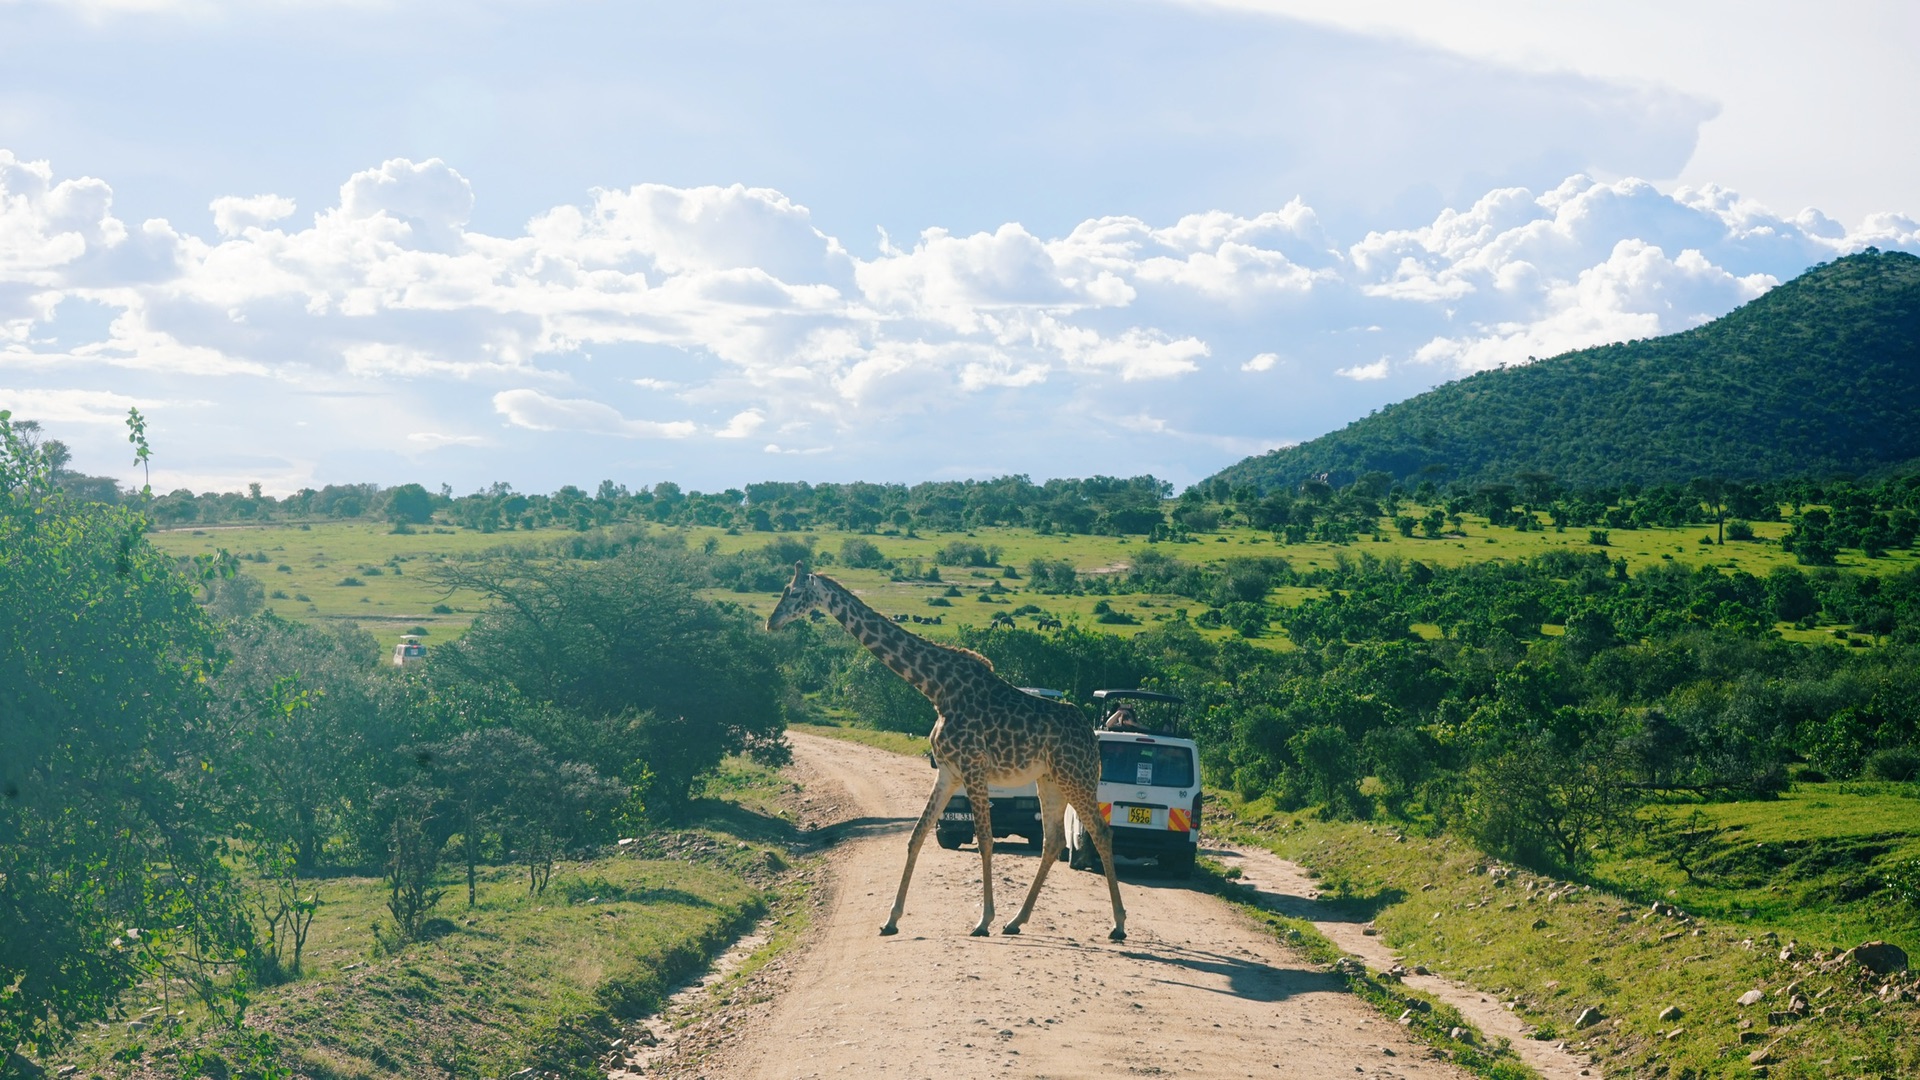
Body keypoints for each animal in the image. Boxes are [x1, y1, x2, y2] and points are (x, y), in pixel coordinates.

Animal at [764, 557, 1121, 937]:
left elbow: (985, 840)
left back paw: (1118, 924)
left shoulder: (973, 767)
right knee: (1052, 841)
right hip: (1050, 779)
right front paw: (891, 919)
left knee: (1101, 831)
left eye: (796, 592)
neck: (936, 688)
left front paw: (983, 920)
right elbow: (917, 834)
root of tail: (1091, 735)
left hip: (1076, 777)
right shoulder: (949, 772)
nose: (771, 622)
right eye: (785, 589)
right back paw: (1016, 921)